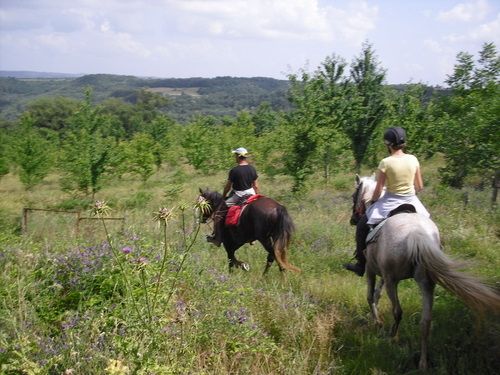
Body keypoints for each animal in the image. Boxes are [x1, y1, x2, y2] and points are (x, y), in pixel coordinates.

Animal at [352, 176, 500, 370]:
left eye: (354, 195)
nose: (354, 219)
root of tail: (417, 234)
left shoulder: (371, 269)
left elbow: (370, 295)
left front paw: (377, 322)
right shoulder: (382, 272)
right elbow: (377, 294)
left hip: (394, 280)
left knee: (397, 311)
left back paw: (393, 338)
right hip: (426, 282)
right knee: (426, 321)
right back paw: (423, 362)